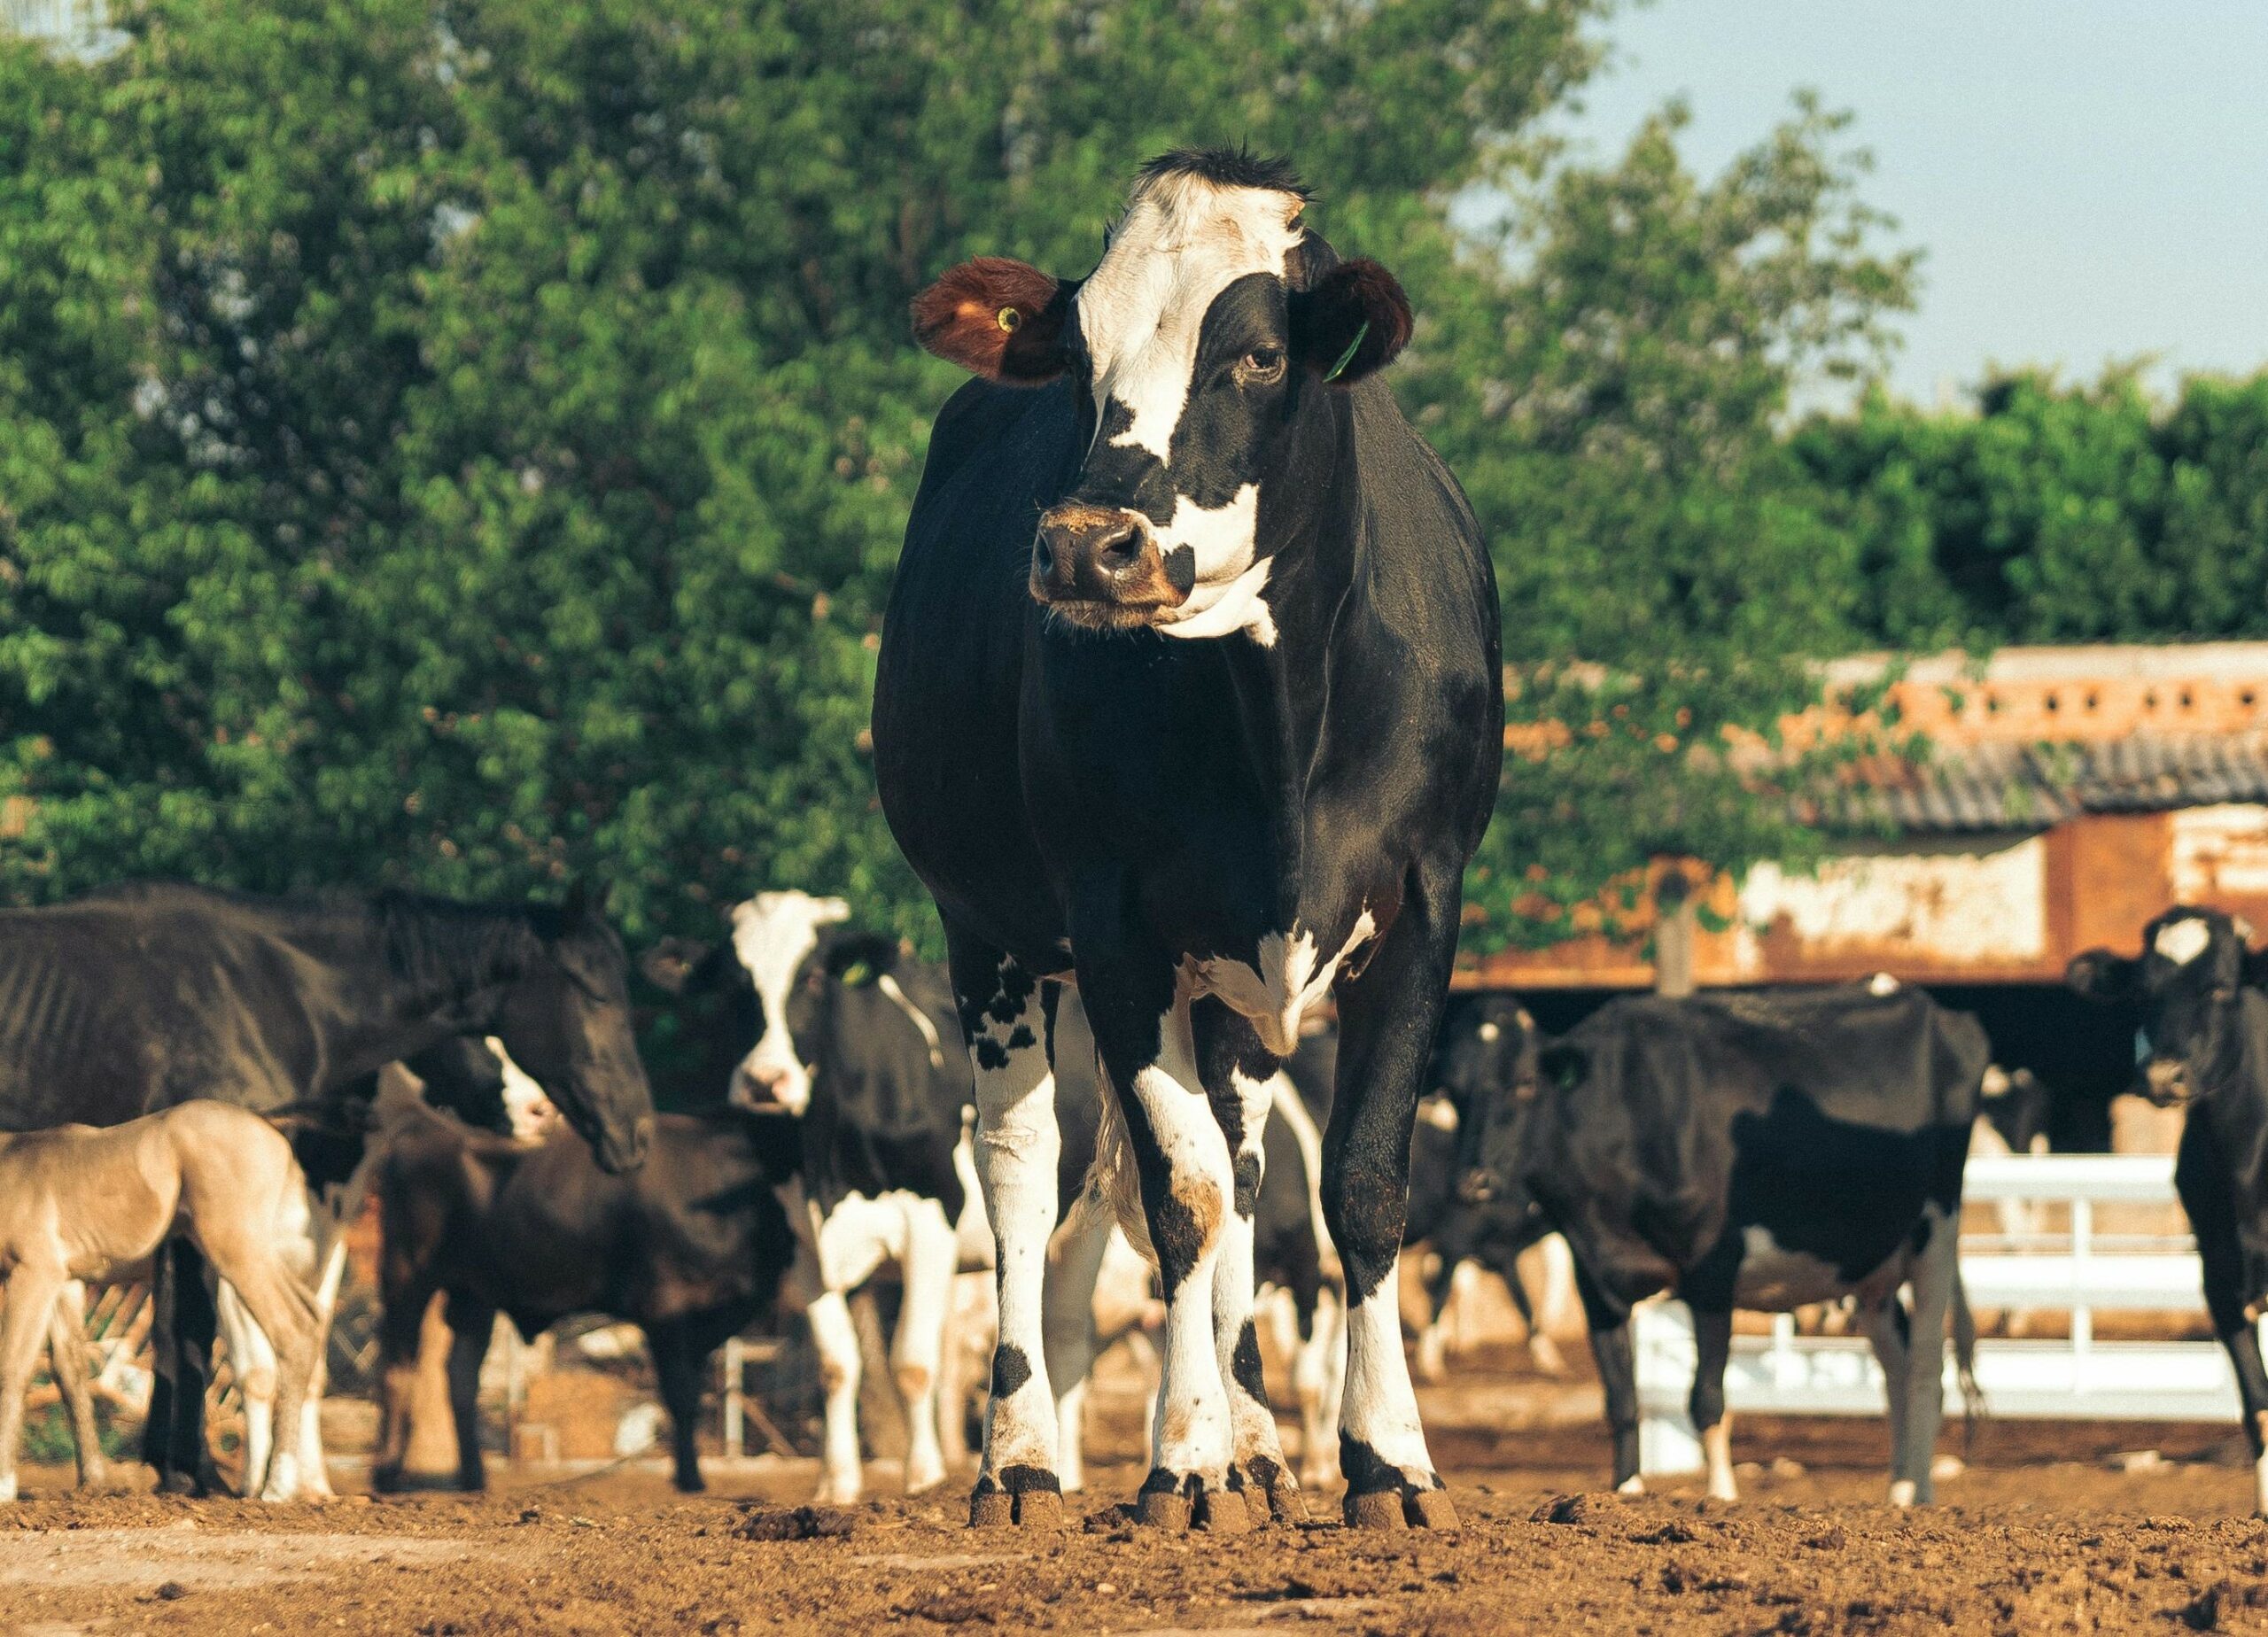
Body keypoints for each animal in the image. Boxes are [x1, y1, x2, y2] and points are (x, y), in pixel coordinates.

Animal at [0, 1101, 324, 1496]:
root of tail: (278, 1141)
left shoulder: (34, 1272)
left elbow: (13, 1366)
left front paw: (4, 1486)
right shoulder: (66, 1283)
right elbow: (70, 1372)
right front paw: (93, 1481)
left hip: (237, 1252)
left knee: (293, 1329)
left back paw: (275, 1488)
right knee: (312, 1316)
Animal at [369, 1101, 798, 1487]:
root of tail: (420, 1129)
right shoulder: (666, 1309)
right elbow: (682, 1393)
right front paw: (690, 1480)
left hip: (475, 1295)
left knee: (460, 1376)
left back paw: (474, 1478)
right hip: (406, 1279)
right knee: (397, 1367)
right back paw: (387, 1474)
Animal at [875, 143, 1496, 1532]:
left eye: (1259, 355)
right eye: (1075, 355)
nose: (1082, 548)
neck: (1279, 724)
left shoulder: (1424, 905)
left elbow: (1357, 1188)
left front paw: (1386, 1458)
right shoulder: (1112, 925)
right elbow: (1180, 1195)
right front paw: (1184, 1457)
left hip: (1230, 993)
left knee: (1252, 1165)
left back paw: (1265, 1442)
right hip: (988, 933)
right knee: (1026, 1172)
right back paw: (1025, 1459)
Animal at [1451, 974, 1986, 1496]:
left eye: (1524, 1084)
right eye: (1451, 1090)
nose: (1474, 1181)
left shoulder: (1713, 1270)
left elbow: (1706, 1398)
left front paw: (1721, 1496)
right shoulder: (1595, 1281)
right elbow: (1620, 1400)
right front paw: (1625, 1490)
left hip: (1936, 1230)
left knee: (1925, 1372)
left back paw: (1918, 1496)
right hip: (1871, 1265)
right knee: (1896, 1369)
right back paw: (1899, 1490)